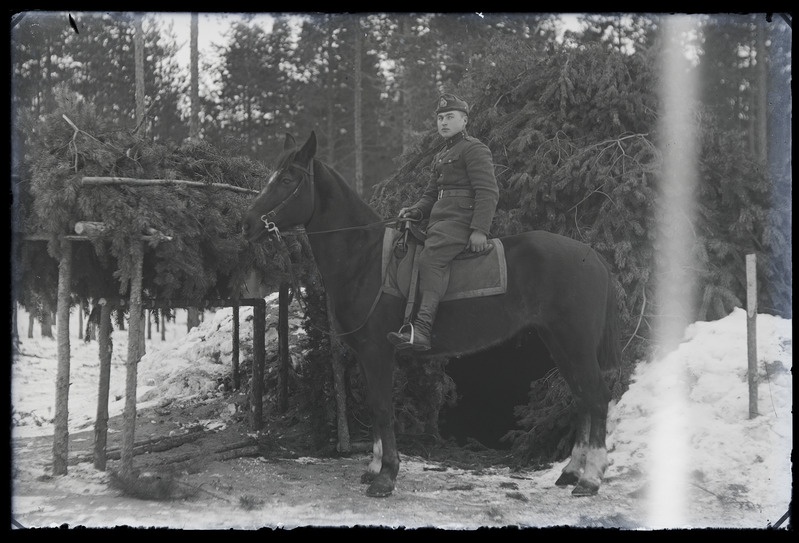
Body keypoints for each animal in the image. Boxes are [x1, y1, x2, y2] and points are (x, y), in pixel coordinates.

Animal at [244, 131, 624, 498]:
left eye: (287, 179)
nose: (248, 225)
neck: (365, 258)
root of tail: (593, 256)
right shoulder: (368, 355)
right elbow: (375, 408)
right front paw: (375, 468)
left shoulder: (377, 352)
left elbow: (382, 409)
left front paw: (387, 476)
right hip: (559, 342)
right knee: (581, 397)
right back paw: (571, 472)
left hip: (574, 342)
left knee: (596, 396)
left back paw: (590, 480)